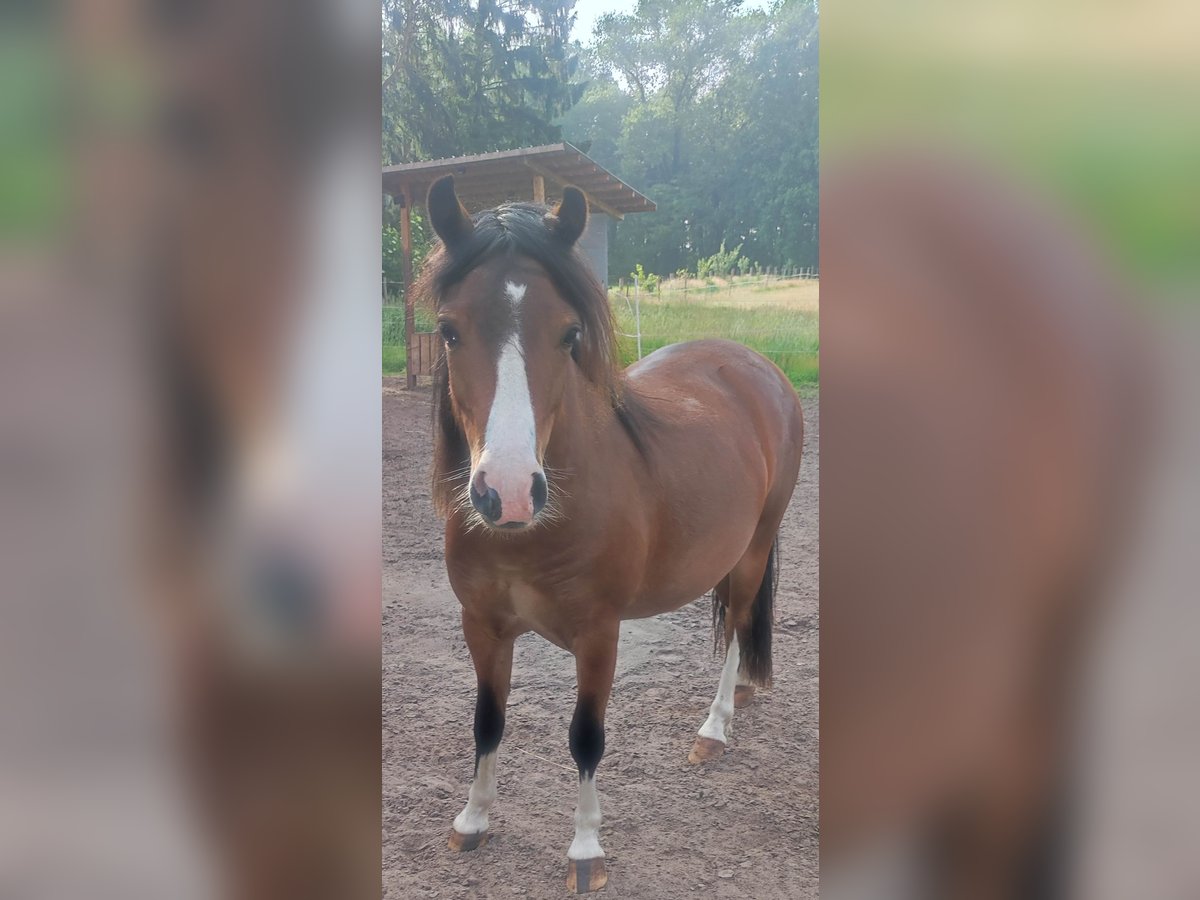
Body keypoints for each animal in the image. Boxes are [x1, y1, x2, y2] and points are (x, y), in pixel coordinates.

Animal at [420, 177, 806, 897]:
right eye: (449, 330)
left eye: (569, 333)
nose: (508, 492)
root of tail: (757, 366)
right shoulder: (481, 625)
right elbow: (487, 720)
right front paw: (473, 820)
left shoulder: (598, 633)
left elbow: (586, 736)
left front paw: (585, 848)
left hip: (755, 546)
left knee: (740, 620)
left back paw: (715, 726)